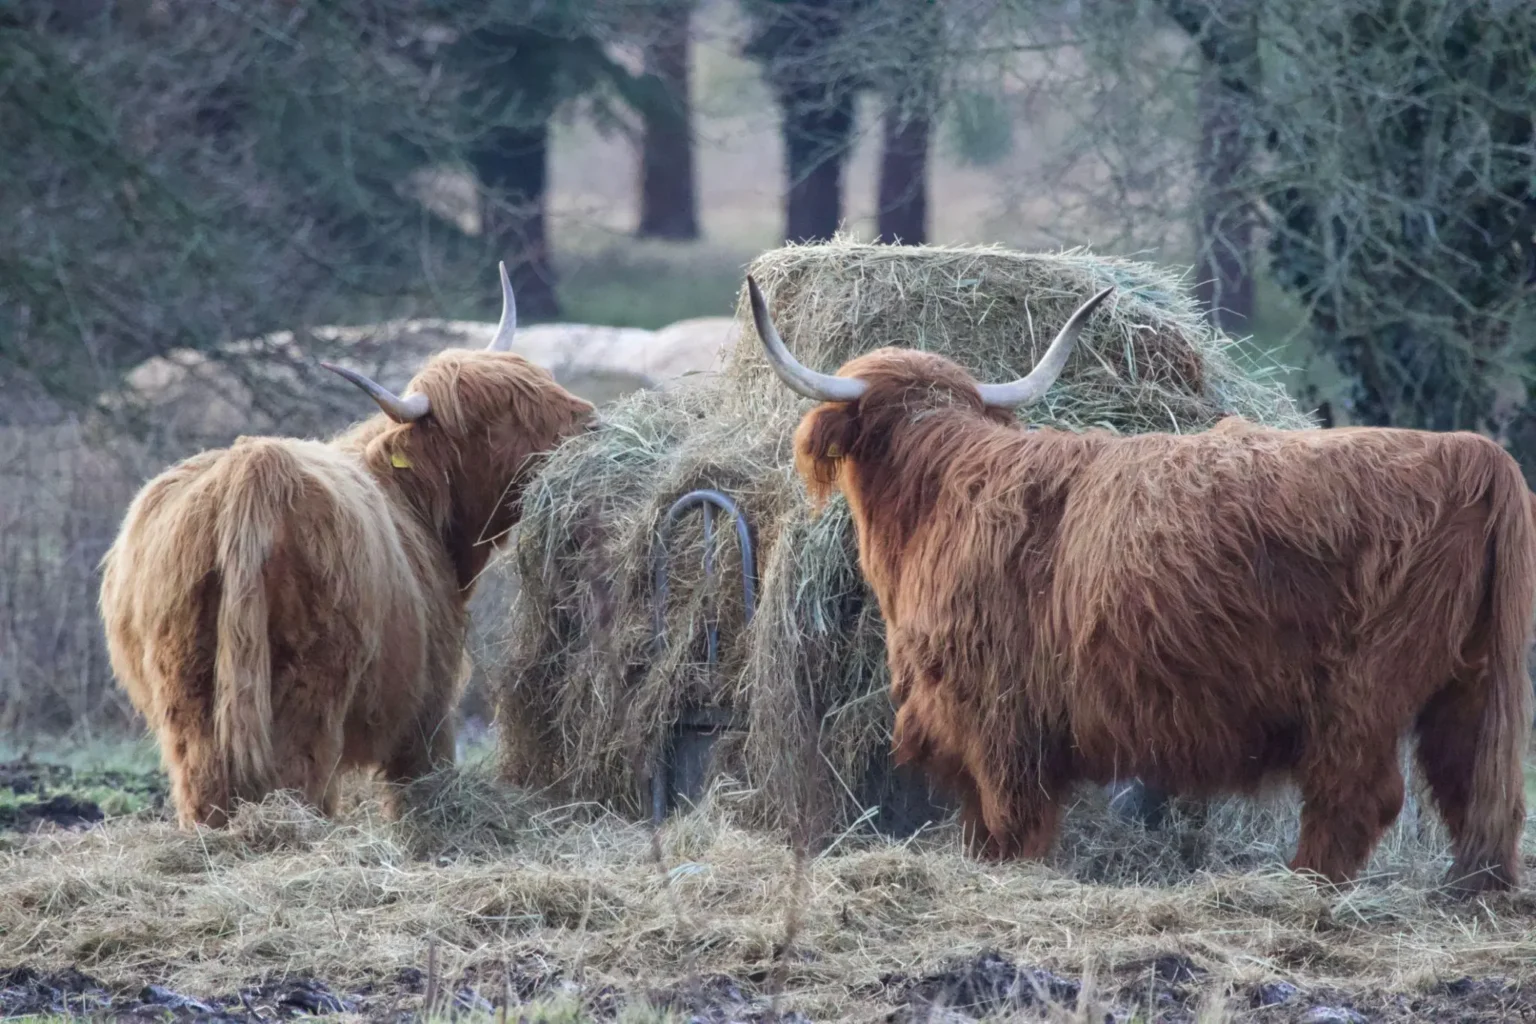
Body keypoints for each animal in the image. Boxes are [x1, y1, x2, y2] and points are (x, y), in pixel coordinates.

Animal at [99, 264, 595, 828]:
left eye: (540, 380)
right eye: (496, 415)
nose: (590, 423)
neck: (414, 499)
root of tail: (256, 467)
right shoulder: (428, 703)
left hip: (187, 697)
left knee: (202, 784)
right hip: (311, 691)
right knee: (301, 776)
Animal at [743, 275, 1536, 893]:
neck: (940, 496)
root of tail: (1472, 453)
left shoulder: (1000, 721)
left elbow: (1011, 828)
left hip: (1363, 689)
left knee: (1357, 794)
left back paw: (1303, 887)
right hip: (1469, 685)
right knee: (1477, 791)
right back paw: (1469, 892)